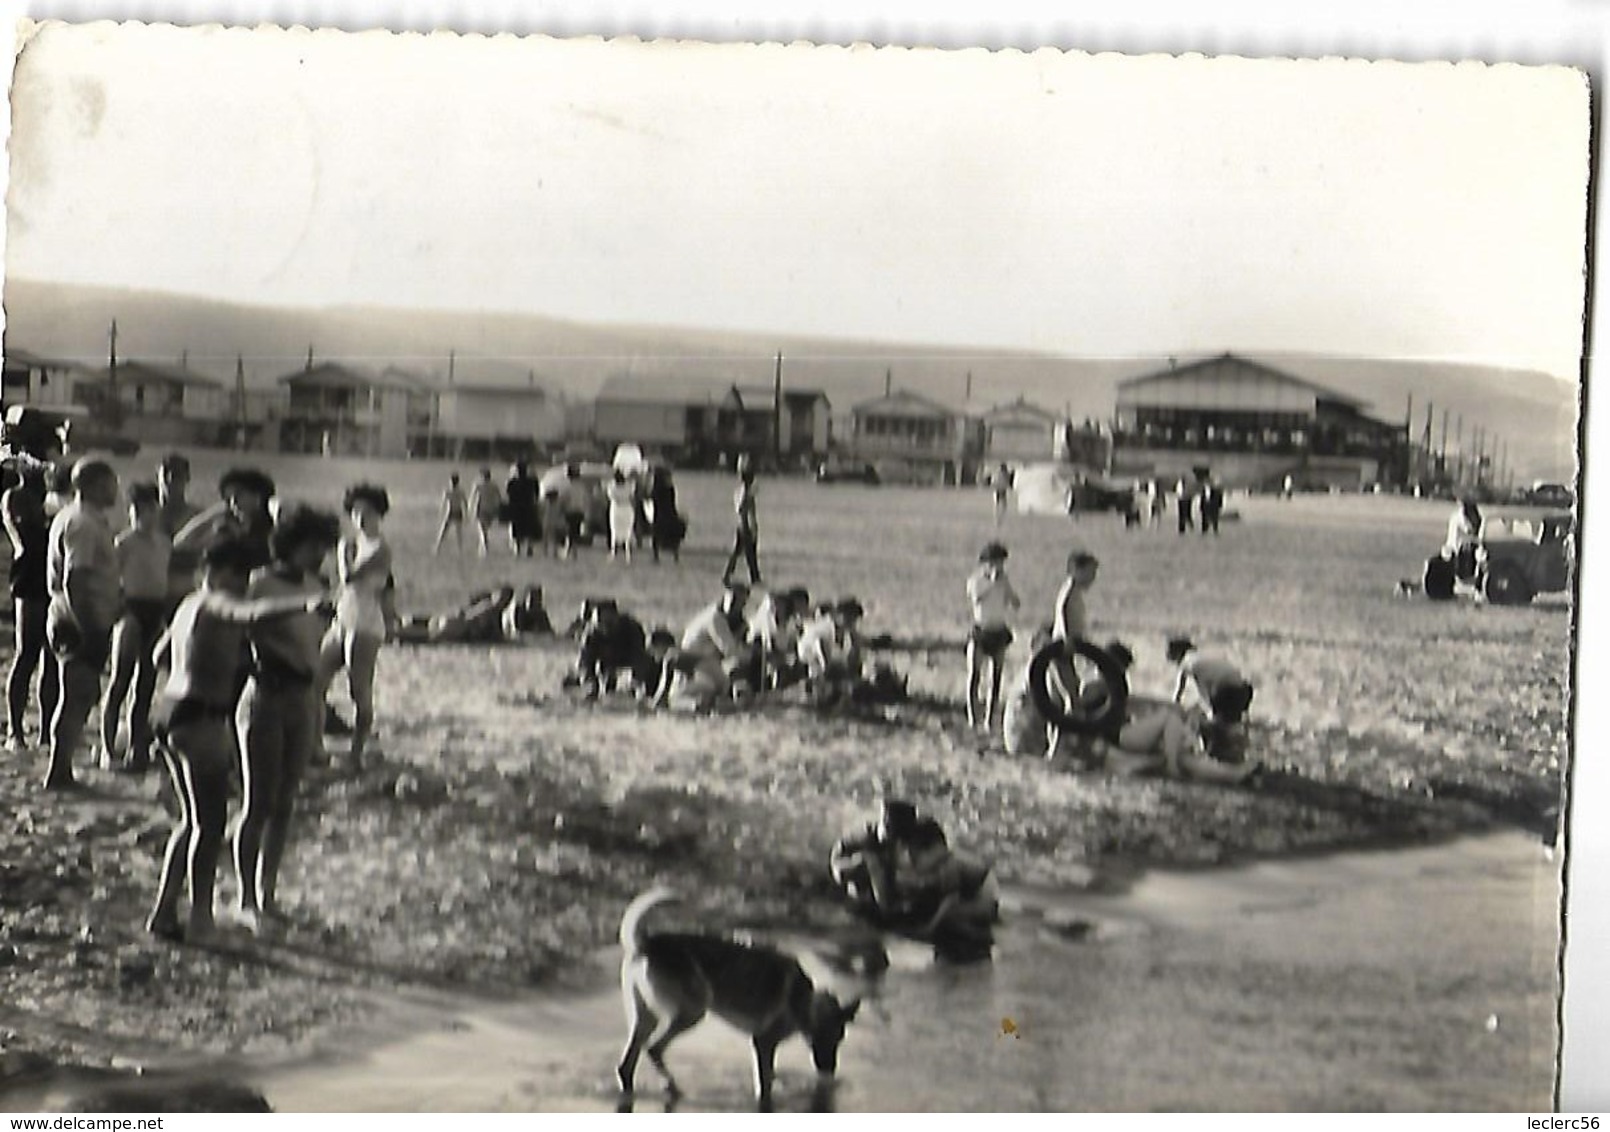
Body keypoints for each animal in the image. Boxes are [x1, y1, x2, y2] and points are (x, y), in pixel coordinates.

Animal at [615, 888, 869, 1107]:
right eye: (833, 1037)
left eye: (841, 1039)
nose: (830, 1071)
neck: (806, 1000)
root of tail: (646, 943)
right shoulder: (763, 1042)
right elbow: (765, 1086)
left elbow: (771, 1077)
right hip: (691, 1013)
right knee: (653, 1049)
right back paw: (672, 1087)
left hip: (645, 1020)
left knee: (626, 1066)